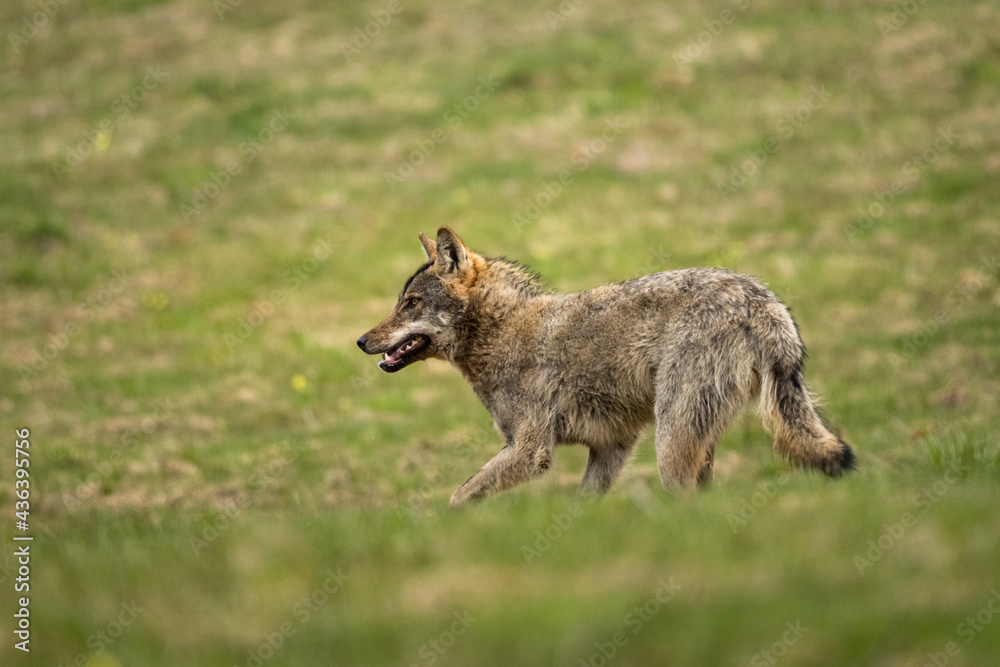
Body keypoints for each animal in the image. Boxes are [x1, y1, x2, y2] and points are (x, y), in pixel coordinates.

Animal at [357, 227, 855, 507]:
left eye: (410, 303)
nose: (361, 341)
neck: (502, 332)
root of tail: (759, 296)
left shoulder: (530, 448)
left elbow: (458, 497)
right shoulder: (610, 447)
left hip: (670, 442)